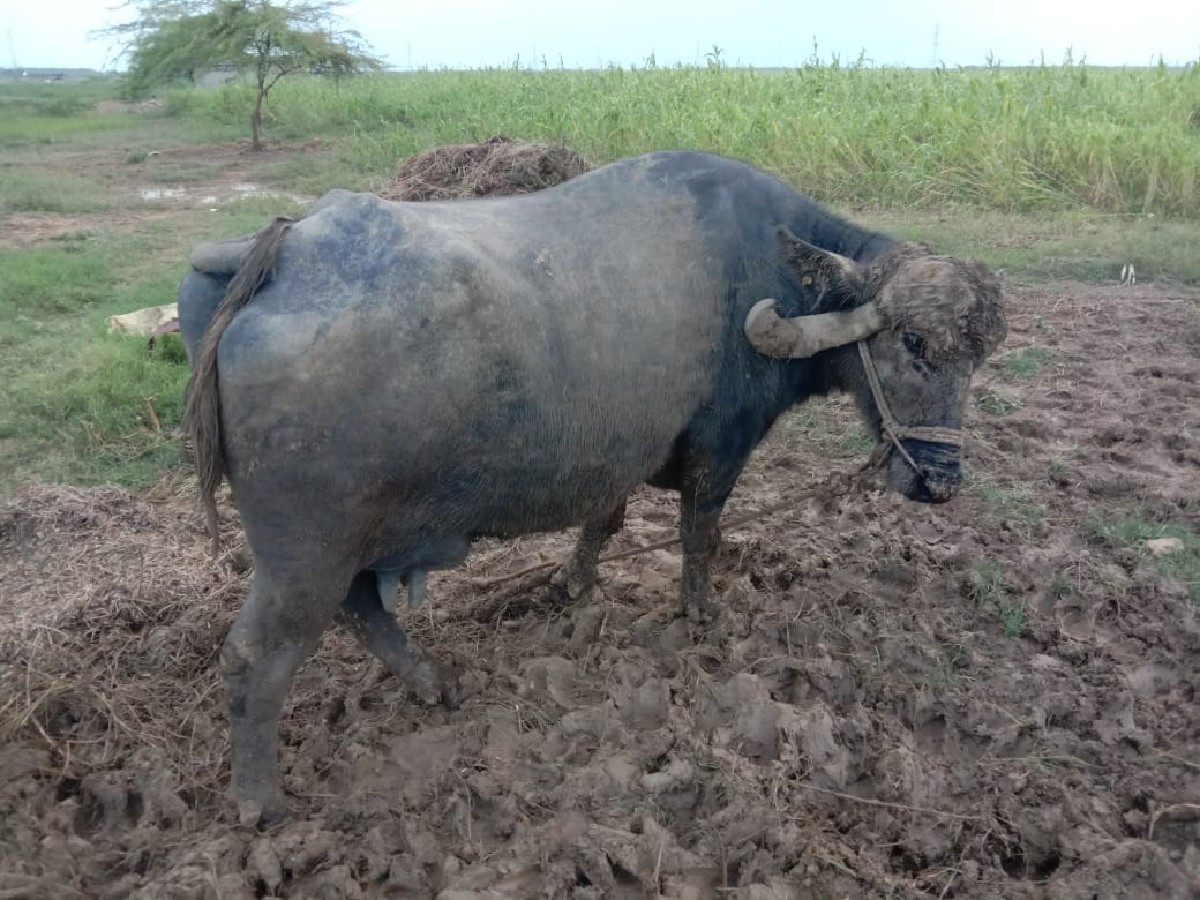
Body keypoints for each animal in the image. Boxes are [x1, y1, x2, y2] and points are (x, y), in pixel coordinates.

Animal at [177, 150, 1006, 821]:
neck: (762, 269)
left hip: (344, 544)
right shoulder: (721, 444)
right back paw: (258, 802)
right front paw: (699, 613)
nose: (939, 482)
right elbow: (700, 533)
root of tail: (284, 254)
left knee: (361, 611)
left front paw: (572, 586)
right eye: (913, 343)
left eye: (977, 359)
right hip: (305, 553)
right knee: (257, 655)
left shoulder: (622, 456)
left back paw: (433, 682)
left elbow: (602, 524)